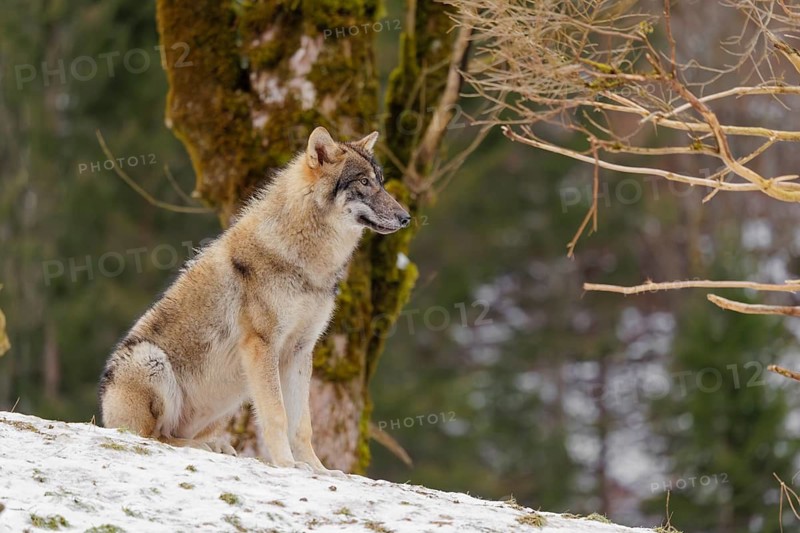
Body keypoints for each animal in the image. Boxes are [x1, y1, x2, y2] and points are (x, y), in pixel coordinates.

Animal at [98, 127, 410, 473]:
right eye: (364, 182)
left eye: (381, 181)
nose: (406, 217)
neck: (309, 262)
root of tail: (106, 416)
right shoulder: (262, 345)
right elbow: (277, 416)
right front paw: (287, 465)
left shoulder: (301, 351)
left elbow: (302, 425)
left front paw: (317, 469)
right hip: (151, 360)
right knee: (155, 437)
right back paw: (204, 447)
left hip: (232, 396)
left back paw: (217, 446)